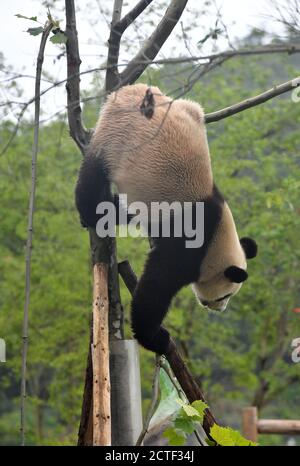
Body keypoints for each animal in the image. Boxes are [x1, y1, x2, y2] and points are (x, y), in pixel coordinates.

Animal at [75, 83, 258, 354]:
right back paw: (92, 214)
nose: (219, 308)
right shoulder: (188, 246)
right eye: (226, 295)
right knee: (93, 176)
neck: (217, 236)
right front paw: (156, 338)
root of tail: (130, 89)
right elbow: (156, 287)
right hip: (116, 136)